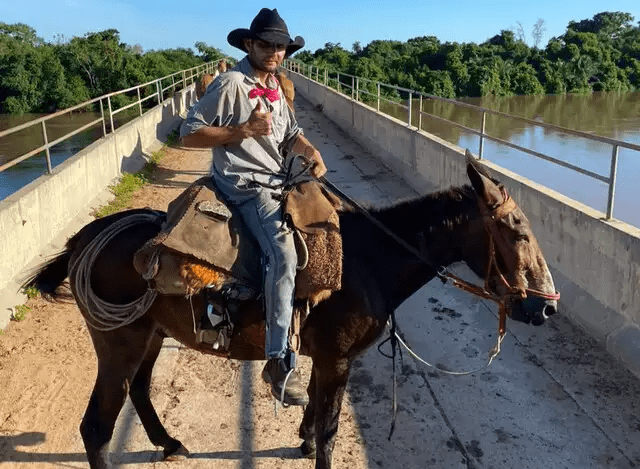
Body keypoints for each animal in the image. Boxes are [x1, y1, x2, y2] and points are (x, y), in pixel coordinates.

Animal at [25, 154, 556, 468]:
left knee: (138, 390)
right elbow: (331, 425)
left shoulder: (325, 356)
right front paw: (313, 445)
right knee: (97, 425)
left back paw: (169, 442)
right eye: (517, 230)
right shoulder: (337, 358)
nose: (545, 307)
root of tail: (85, 238)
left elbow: (318, 410)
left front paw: (302, 439)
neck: (370, 261)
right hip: (119, 340)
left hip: (151, 334)